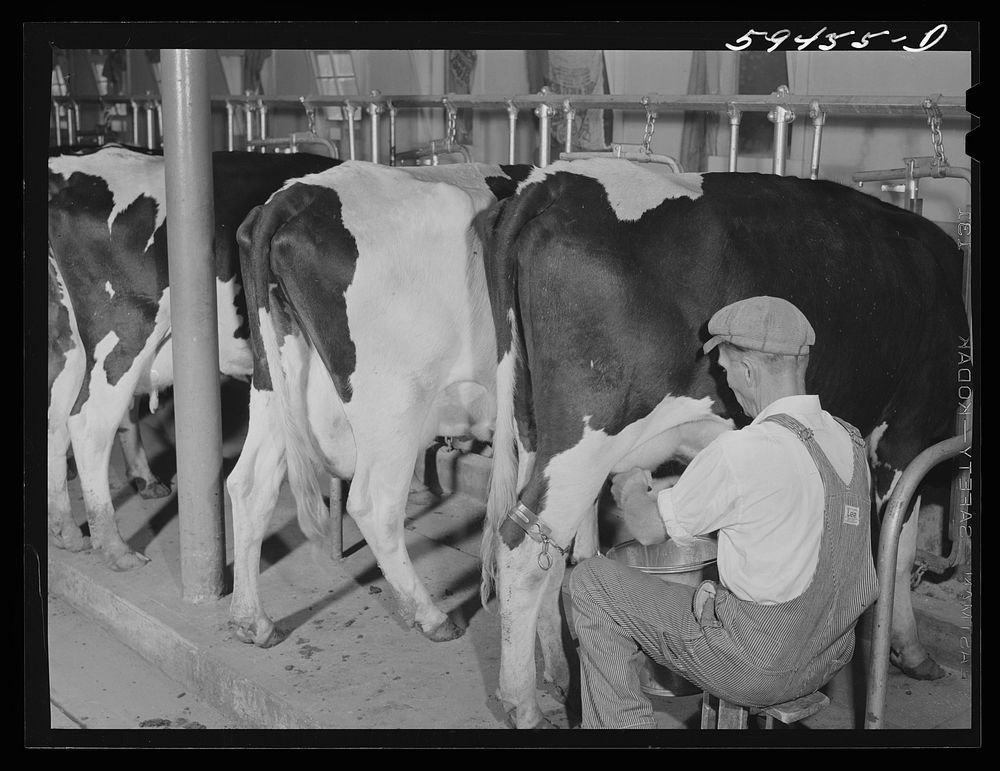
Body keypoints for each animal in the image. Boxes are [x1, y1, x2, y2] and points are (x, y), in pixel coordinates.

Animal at [47, 145, 342, 568]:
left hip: (68, 339)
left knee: (56, 418)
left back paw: (67, 530)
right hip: (124, 331)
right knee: (88, 423)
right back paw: (115, 548)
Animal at [229, 160, 536, 648]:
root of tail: (297, 194)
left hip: (277, 387)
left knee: (248, 483)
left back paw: (252, 621)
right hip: (393, 403)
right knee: (374, 505)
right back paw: (431, 616)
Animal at [480, 158, 972, 728]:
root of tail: (554, 180)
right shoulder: (907, 432)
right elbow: (902, 542)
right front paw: (910, 650)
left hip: (533, 430)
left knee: (548, 550)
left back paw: (559, 676)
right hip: (584, 435)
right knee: (520, 551)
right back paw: (523, 705)